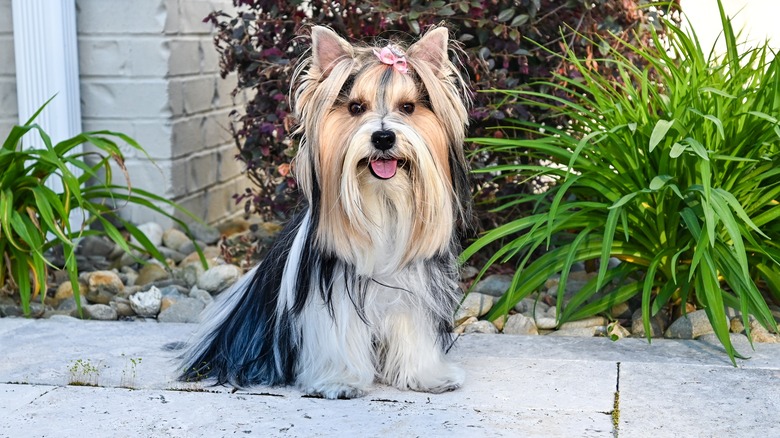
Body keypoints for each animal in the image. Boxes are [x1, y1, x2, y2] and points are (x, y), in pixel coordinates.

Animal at [180, 24, 472, 400]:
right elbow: (340, 335)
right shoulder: (330, 298)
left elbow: (412, 329)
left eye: (408, 107)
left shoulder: (412, 291)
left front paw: (426, 377)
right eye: (356, 107)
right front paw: (341, 381)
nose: (383, 137)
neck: (382, 203)